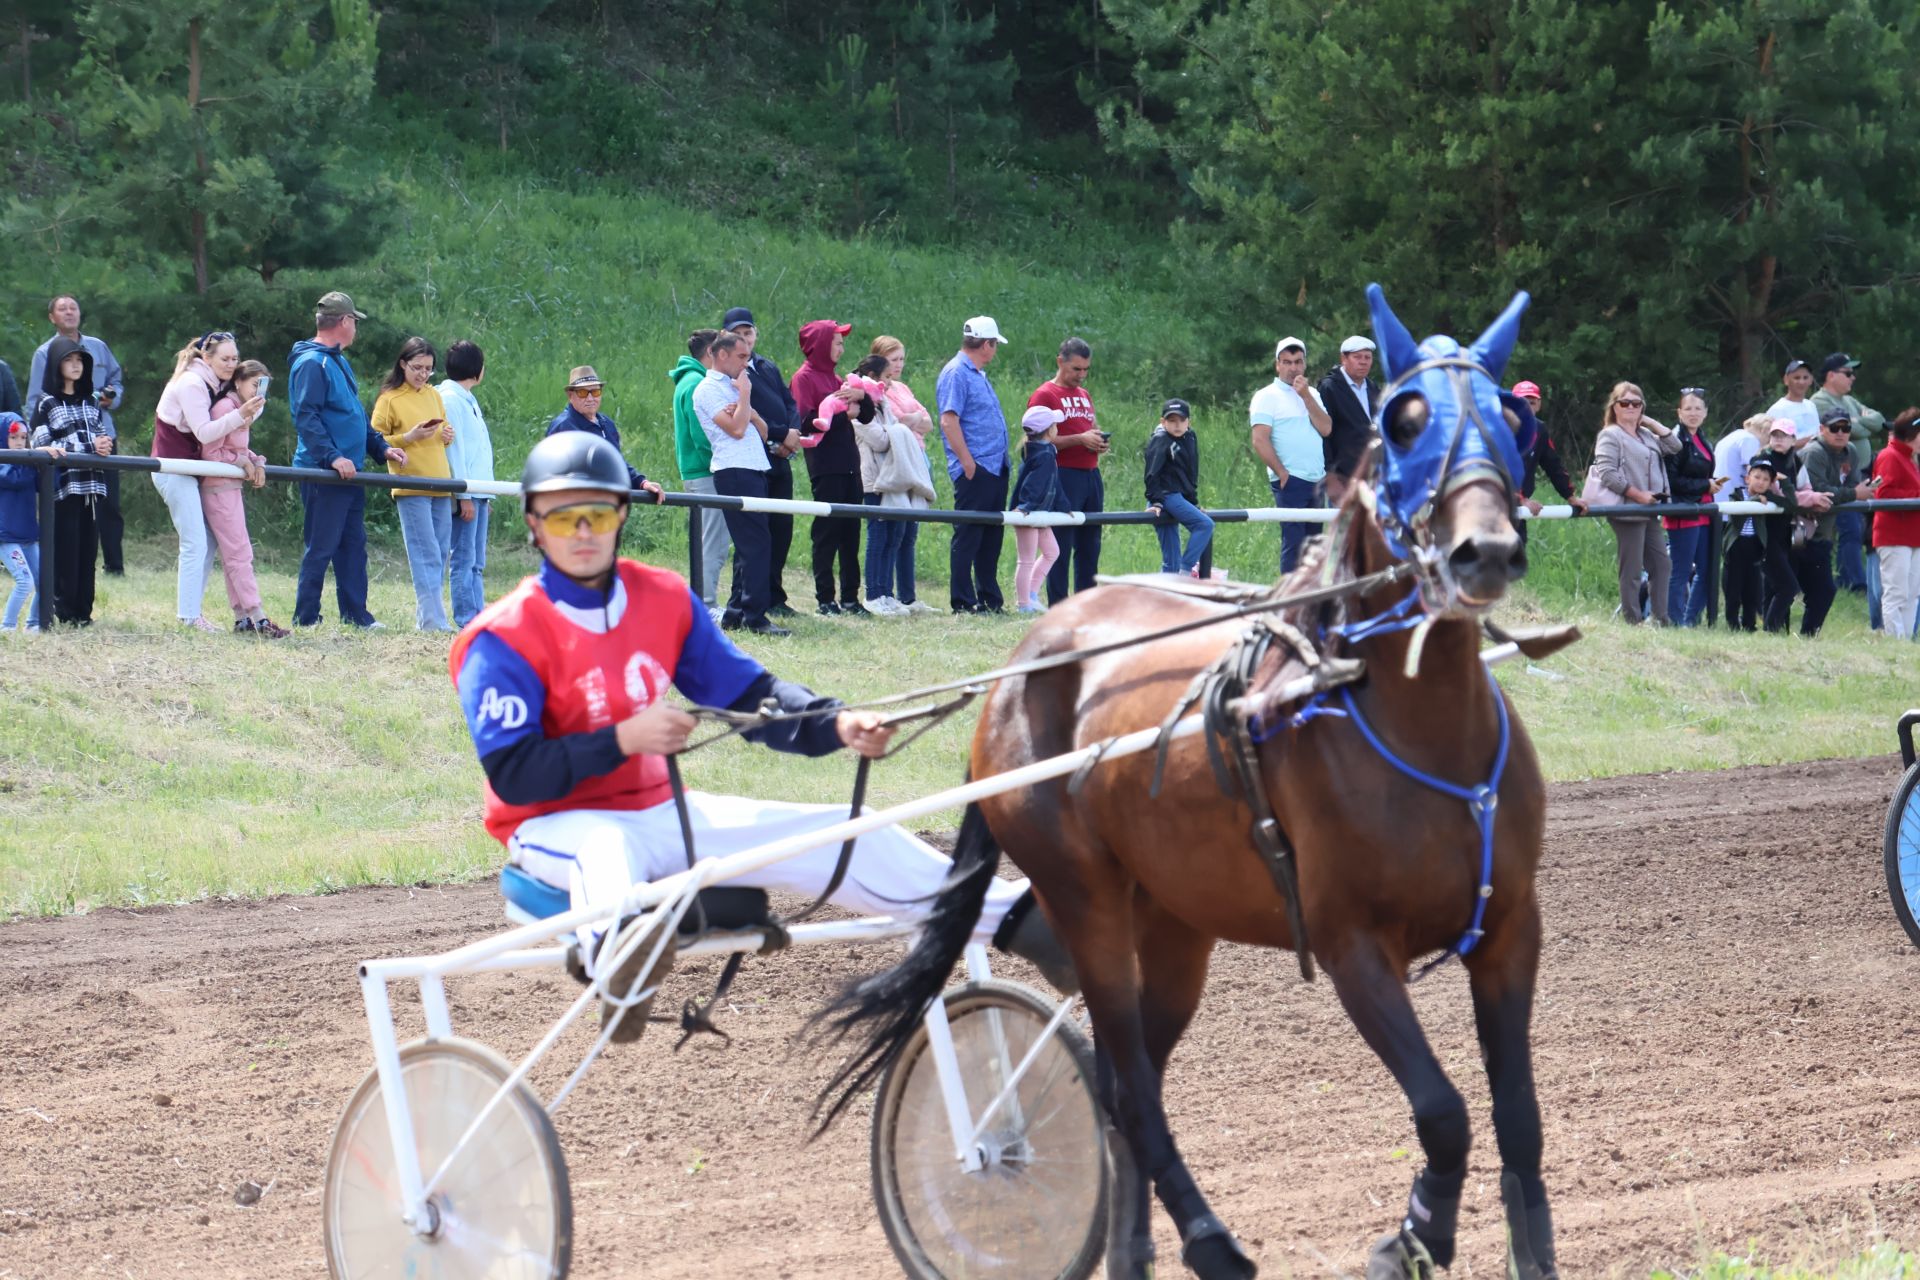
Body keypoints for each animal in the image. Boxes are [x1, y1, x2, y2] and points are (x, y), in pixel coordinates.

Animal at [810, 289, 1559, 1280]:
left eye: (1509, 420)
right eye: (1402, 422)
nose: (1486, 551)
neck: (1426, 737)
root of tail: (1024, 660)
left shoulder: (1510, 929)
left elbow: (1517, 1117)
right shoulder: (1354, 945)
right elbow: (1443, 1111)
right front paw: (1413, 1235)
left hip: (1173, 921)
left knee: (1131, 1084)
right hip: (1085, 897)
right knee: (1127, 1087)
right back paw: (1208, 1238)